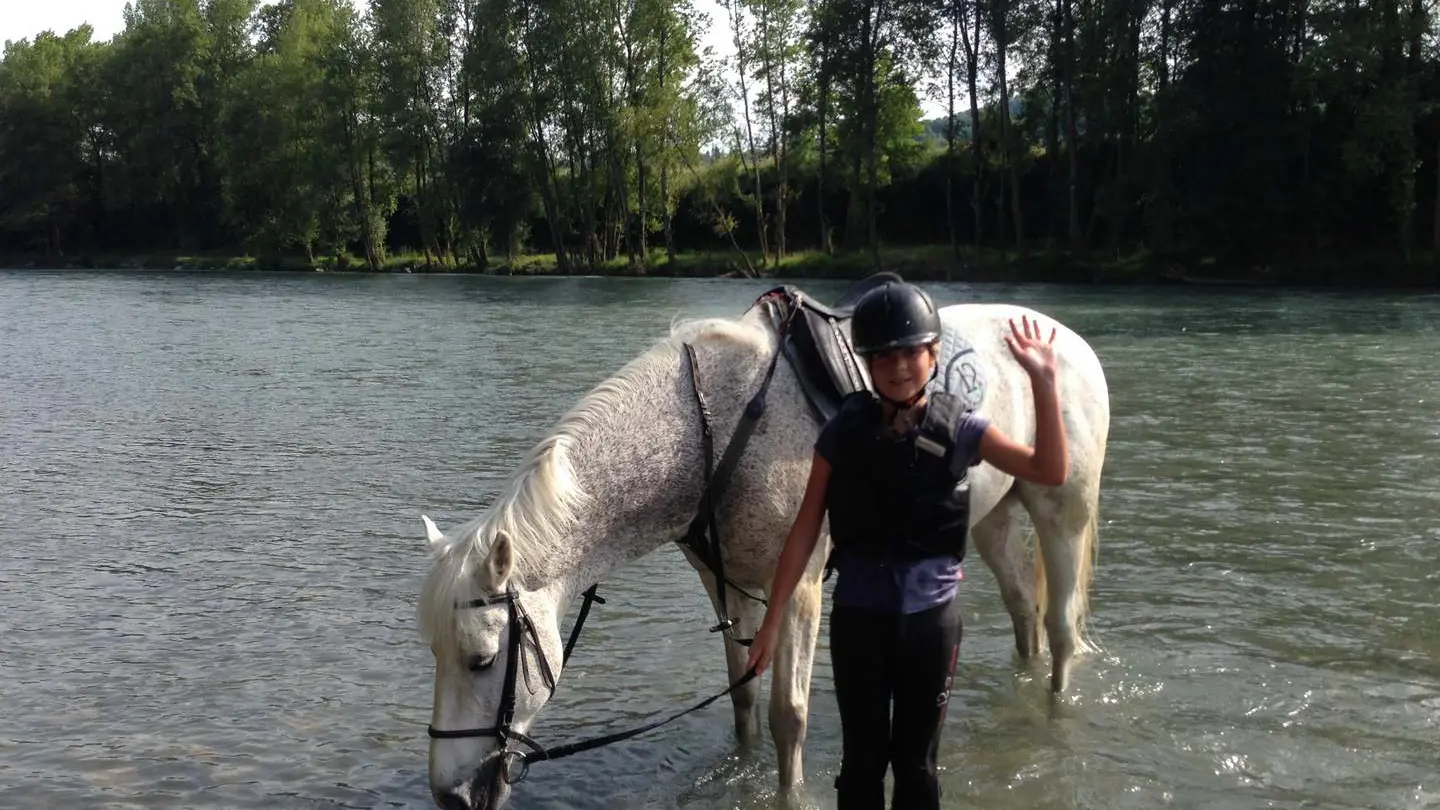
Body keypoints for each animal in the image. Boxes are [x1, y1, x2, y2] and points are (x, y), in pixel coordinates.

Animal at [417, 288, 1111, 807]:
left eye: (481, 660)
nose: (449, 796)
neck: (713, 429)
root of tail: (1067, 338)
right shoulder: (729, 586)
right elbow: (743, 697)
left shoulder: (797, 587)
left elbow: (788, 715)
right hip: (992, 521)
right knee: (1024, 611)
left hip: (1064, 512)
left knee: (1059, 626)